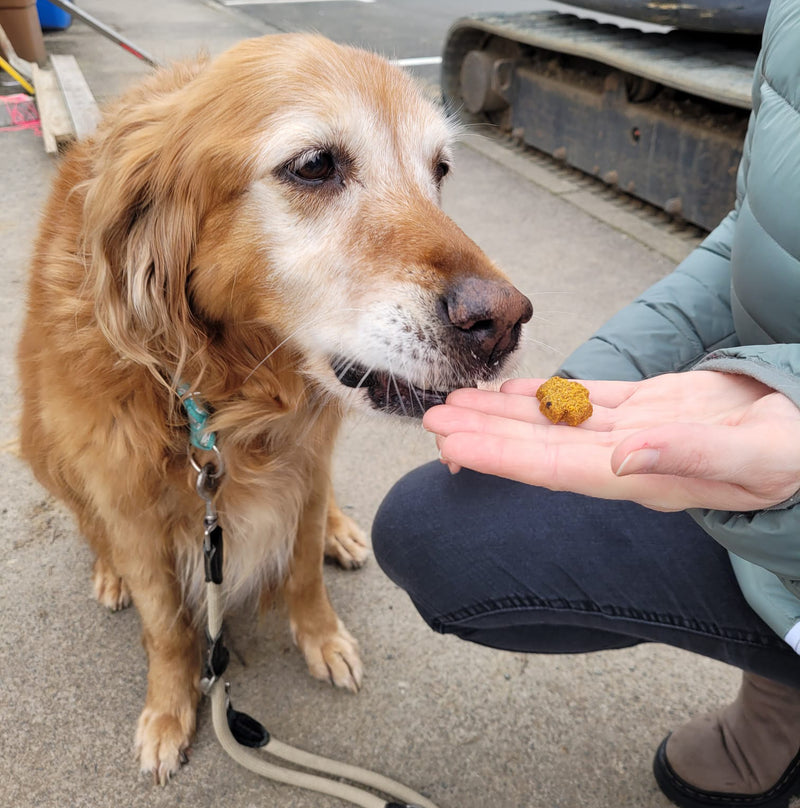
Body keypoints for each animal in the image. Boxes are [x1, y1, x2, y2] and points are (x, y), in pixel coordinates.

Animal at [15, 33, 532, 784]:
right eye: (314, 165)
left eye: (438, 170)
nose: (504, 325)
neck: (229, 396)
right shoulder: (128, 499)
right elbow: (166, 626)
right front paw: (168, 711)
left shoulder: (307, 460)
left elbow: (306, 569)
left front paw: (323, 637)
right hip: (42, 443)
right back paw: (109, 574)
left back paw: (343, 533)